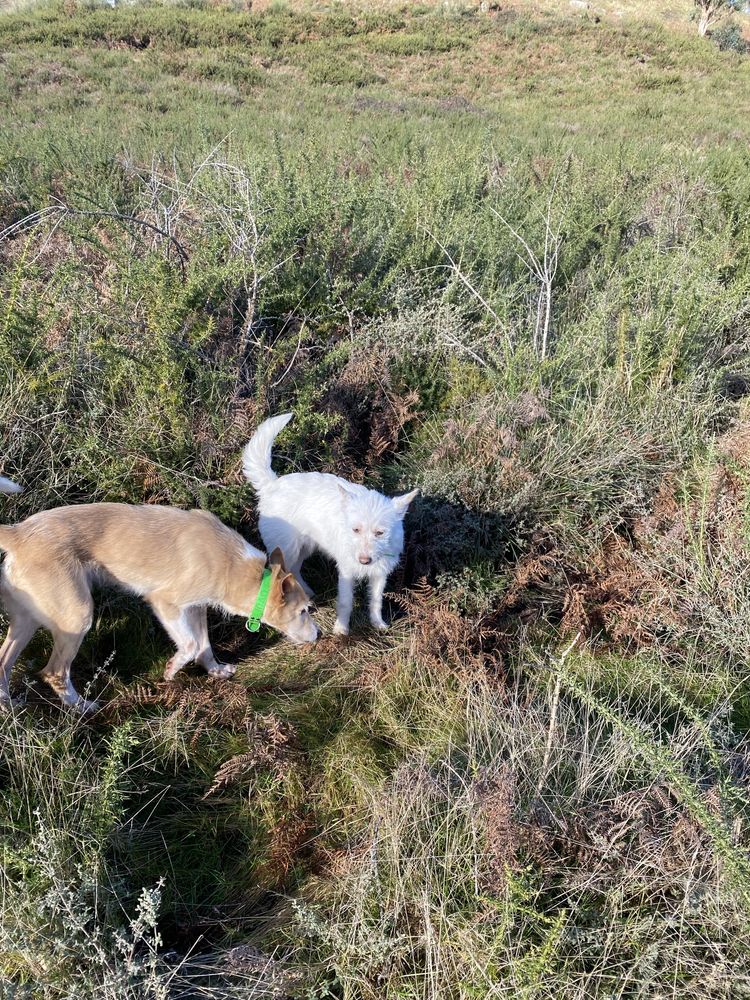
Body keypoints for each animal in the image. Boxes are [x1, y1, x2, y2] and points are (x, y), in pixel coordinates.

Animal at [0, 508, 318, 712]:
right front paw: (172, 670)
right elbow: (190, 645)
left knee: (4, 663)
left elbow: (204, 646)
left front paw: (215, 671)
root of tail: (18, 533)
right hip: (77, 616)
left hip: (26, 622)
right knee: (54, 672)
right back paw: (82, 707)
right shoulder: (165, 603)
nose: (319, 635)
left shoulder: (196, 607)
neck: (235, 565)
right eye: (304, 611)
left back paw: (9, 706)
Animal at [244, 412, 418, 632]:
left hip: (304, 547)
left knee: (296, 570)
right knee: (288, 573)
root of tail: (271, 485)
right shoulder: (346, 572)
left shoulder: (379, 574)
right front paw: (341, 630)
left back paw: (307, 594)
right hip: (287, 550)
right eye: (355, 530)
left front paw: (378, 623)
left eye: (380, 533)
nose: (364, 560)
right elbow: (345, 602)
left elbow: (376, 601)